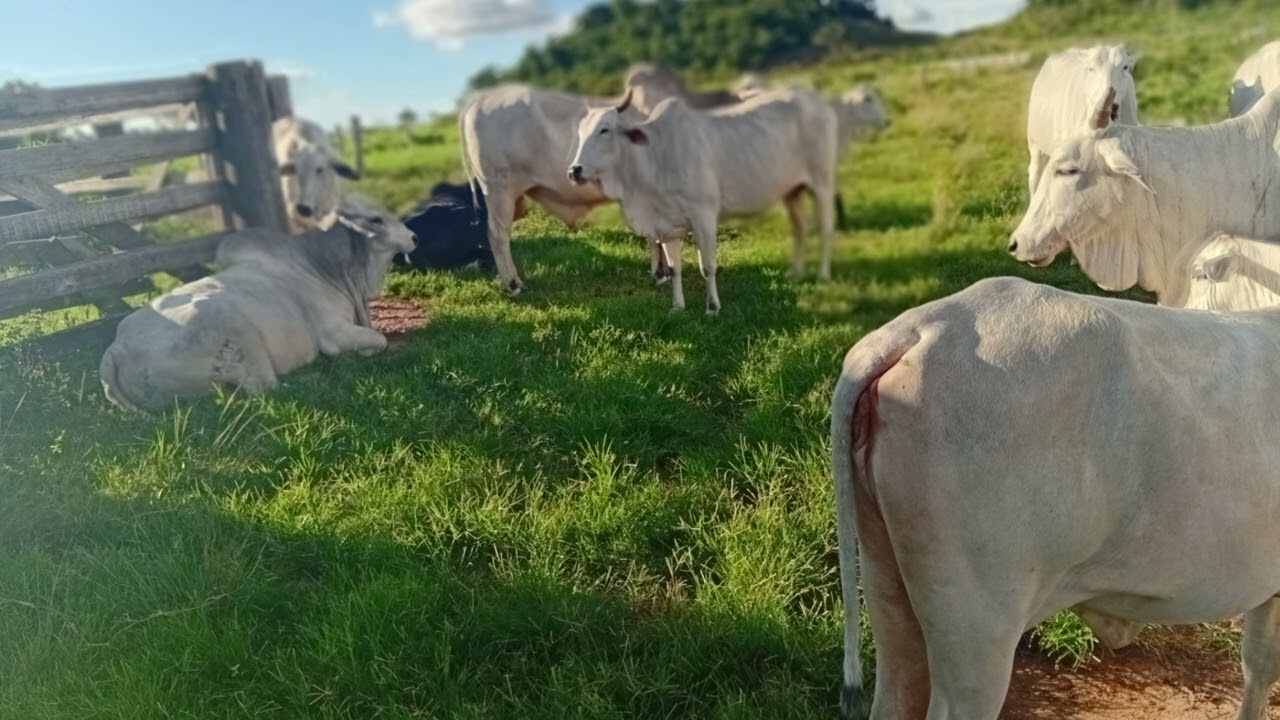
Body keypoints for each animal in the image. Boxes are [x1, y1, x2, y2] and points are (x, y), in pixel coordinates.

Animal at [99, 194, 414, 412]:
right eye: (376, 219)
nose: (413, 236)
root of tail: (117, 348)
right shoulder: (333, 334)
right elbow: (377, 340)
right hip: (233, 328)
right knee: (264, 388)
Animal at [458, 66, 743, 295]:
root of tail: (479, 99)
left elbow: (656, 237)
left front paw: (659, 272)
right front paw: (663, 272)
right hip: (499, 190)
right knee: (498, 235)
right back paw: (513, 284)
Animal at [566, 87, 839, 313]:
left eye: (605, 129)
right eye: (579, 131)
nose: (574, 171)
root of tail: (816, 101)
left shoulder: (704, 215)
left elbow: (707, 265)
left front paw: (713, 307)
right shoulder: (667, 225)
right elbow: (675, 268)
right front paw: (678, 306)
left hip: (823, 180)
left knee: (826, 227)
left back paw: (824, 275)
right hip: (792, 191)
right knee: (800, 228)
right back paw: (797, 273)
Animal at [831, 275, 1280, 720]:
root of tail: (924, 324)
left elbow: (1257, 664)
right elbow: (1262, 666)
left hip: (886, 578)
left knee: (895, 690)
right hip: (978, 625)